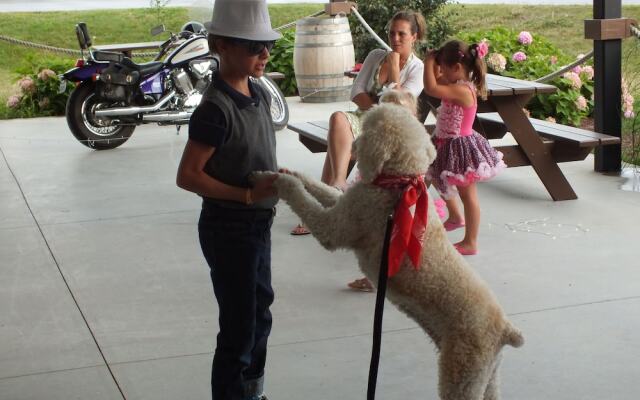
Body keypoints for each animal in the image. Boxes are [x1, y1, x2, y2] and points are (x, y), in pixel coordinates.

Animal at [264, 104, 520, 400]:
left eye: (367, 127)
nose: (353, 145)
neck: (399, 183)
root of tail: (505, 329)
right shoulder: (349, 202)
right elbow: (325, 190)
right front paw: (294, 174)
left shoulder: (336, 227)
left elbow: (305, 201)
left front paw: (281, 180)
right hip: (488, 374)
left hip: (462, 371)